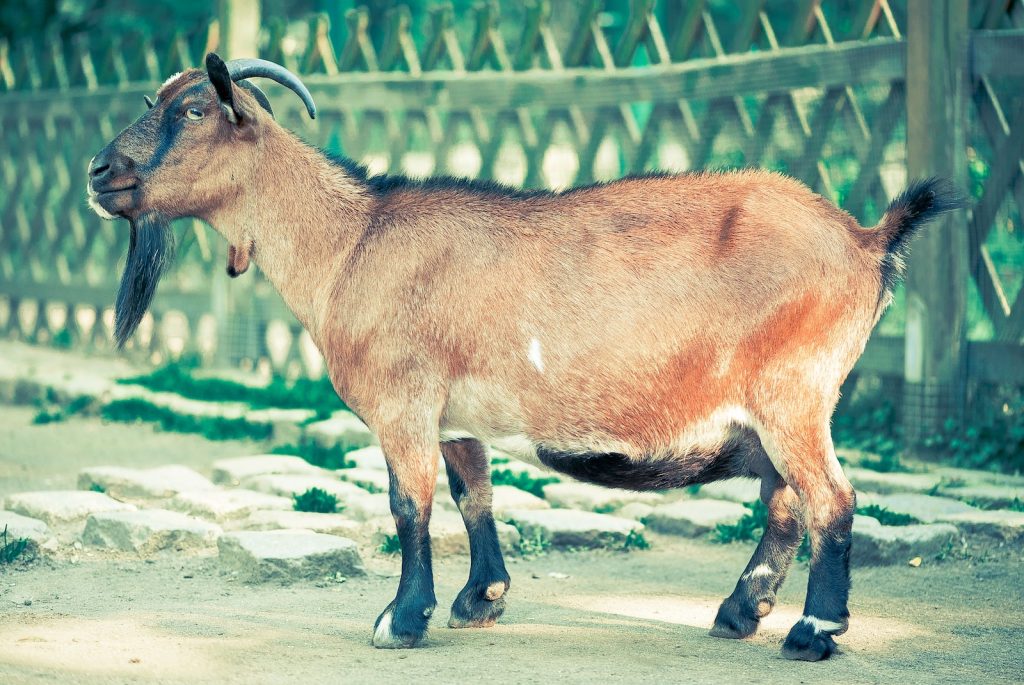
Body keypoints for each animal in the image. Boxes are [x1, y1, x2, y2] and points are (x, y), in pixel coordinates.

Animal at [86, 53, 958, 655]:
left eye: (192, 107)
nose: (99, 171)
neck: (351, 242)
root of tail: (866, 239)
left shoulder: (403, 403)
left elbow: (409, 505)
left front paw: (400, 619)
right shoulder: (455, 412)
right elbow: (474, 495)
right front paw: (482, 598)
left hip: (793, 390)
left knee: (831, 500)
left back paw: (813, 630)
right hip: (776, 406)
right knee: (785, 501)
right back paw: (739, 612)